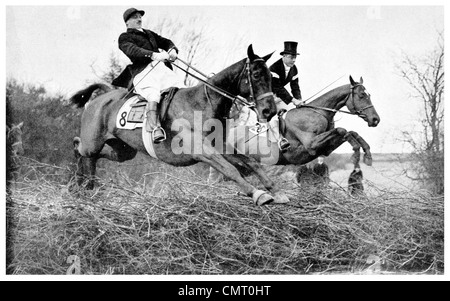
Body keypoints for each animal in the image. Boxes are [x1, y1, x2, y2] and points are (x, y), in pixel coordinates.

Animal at [69, 44, 288, 204]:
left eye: (271, 77)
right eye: (256, 75)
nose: (269, 111)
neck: (202, 102)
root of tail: (103, 96)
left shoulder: (219, 146)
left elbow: (251, 162)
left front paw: (277, 191)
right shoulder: (201, 150)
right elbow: (230, 169)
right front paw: (258, 194)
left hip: (123, 150)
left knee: (91, 154)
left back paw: (84, 185)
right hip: (93, 142)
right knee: (81, 149)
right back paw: (80, 183)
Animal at [221, 75, 380, 171]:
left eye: (370, 95)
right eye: (361, 95)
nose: (375, 119)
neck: (319, 112)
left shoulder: (325, 149)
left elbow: (351, 132)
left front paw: (367, 155)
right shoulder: (311, 145)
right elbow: (342, 130)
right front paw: (356, 154)